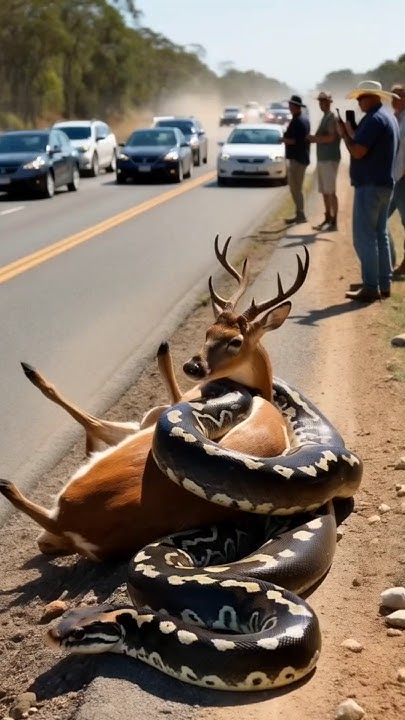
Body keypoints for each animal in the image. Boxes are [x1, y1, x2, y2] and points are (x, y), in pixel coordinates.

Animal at [0, 237, 309, 561]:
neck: (258, 390)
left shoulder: (163, 410)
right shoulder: (154, 414)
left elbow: (101, 415)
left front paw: (163, 352)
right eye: (208, 330)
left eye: (235, 341)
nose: (193, 366)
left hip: (113, 460)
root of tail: (68, 522)